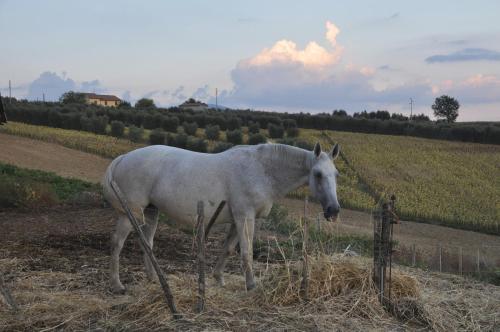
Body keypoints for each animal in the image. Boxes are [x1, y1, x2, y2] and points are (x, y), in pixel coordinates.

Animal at [101, 141, 340, 292]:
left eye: (336, 174)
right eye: (318, 174)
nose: (334, 210)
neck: (262, 170)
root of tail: (124, 157)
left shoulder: (240, 219)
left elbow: (228, 249)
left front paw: (219, 279)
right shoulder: (245, 217)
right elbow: (246, 251)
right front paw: (251, 285)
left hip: (151, 211)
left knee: (147, 243)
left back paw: (153, 279)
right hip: (130, 213)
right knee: (117, 243)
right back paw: (117, 285)